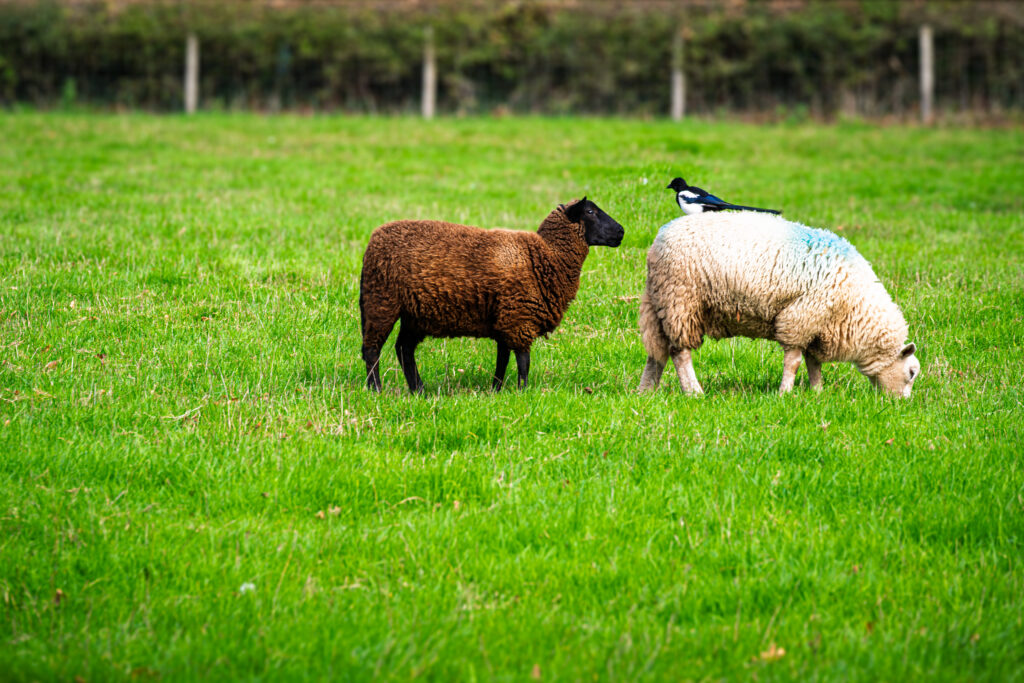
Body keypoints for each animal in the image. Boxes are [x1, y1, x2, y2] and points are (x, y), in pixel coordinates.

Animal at [360, 198, 625, 393]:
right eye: (590, 211)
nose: (622, 231)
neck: (545, 256)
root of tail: (374, 239)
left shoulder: (506, 320)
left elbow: (502, 360)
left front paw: (496, 391)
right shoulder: (519, 318)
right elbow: (523, 362)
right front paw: (522, 392)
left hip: (414, 314)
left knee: (404, 349)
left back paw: (419, 390)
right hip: (380, 302)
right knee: (372, 350)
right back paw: (376, 390)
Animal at [637, 212, 921, 397]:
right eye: (912, 373)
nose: (902, 404)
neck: (856, 310)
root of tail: (658, 240)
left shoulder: (816, 326)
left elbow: (813, 363)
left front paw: (817, 393)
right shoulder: (800, 318)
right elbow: (794, 361)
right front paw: (785, 393)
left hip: (659, 303)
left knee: (656, 351)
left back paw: (645, 391)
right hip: (681, 302)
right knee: (679, 352)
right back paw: (694, 392)